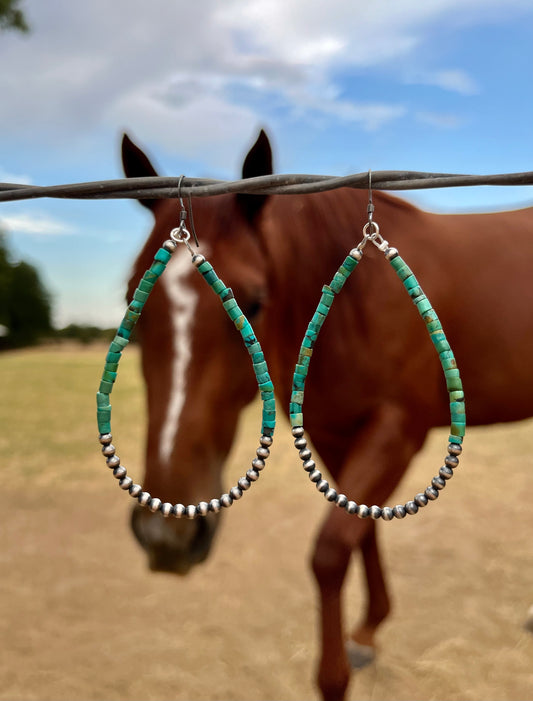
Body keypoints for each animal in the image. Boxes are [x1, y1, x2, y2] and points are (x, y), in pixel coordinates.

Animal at [119, 131, 532, 700]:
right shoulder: (334, 433)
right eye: (132, 302)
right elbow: (362, 530)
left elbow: (331, 550)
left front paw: (335, 674)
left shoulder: (398, 431)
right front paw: (368, 631)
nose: (168, 537)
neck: (355, 302)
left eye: (255, 301)